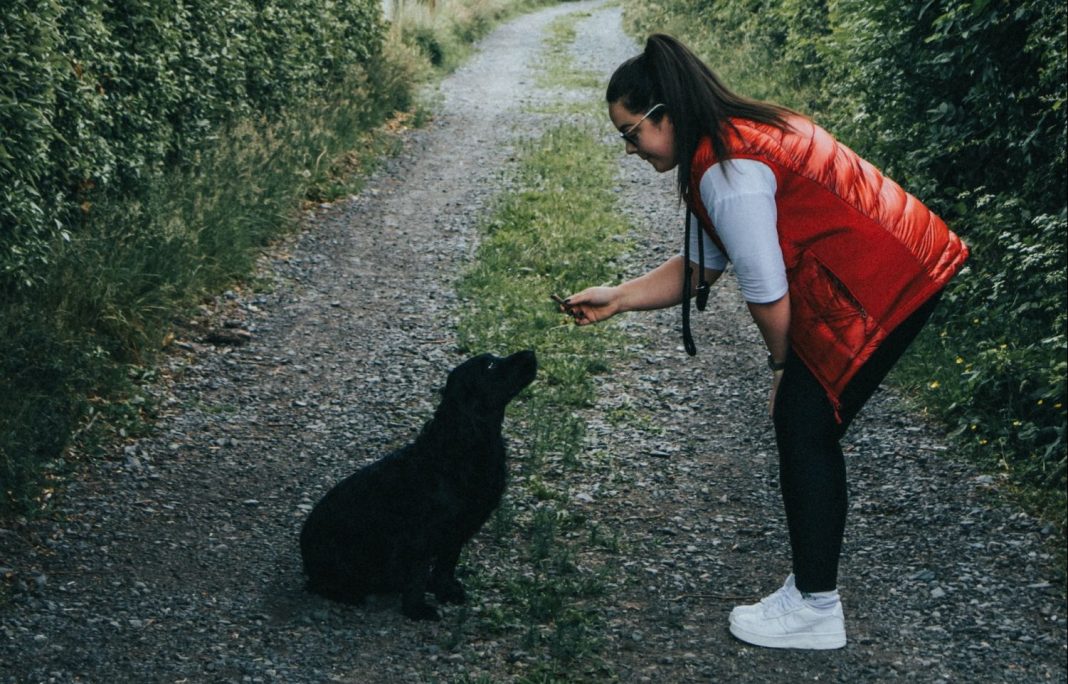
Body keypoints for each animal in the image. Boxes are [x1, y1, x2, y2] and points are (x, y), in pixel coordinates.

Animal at [299, 350, 534, 624]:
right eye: (490, 366)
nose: (531, 353)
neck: (461, 446)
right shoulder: (421, 537)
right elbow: (418, 577)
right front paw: (417, 610)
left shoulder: (456, 532)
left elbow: (446, 566)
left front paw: (445, 591)